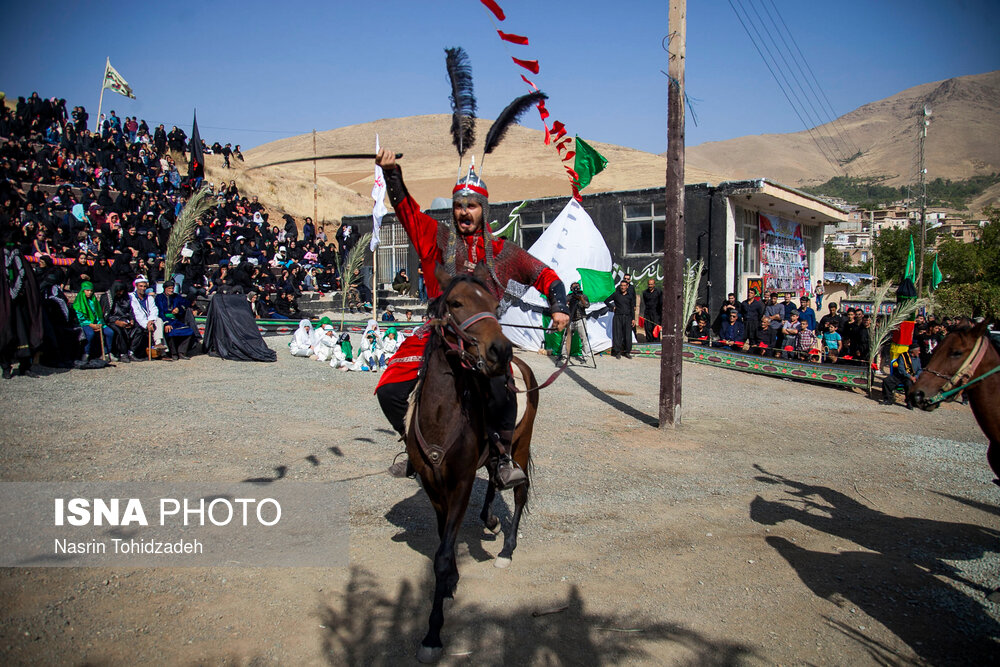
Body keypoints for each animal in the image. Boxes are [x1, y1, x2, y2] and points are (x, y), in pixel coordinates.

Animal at [404, 262, 536, 664]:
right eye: (457, 303)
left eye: (495, 306)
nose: (501, 350)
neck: (441, 413)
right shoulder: (434, 487)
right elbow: (442, 542)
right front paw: (450, 584)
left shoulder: (460, 484)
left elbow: (444, 553)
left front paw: (433, 634)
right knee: (494, 477)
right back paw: (489, 519)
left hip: (521, 446)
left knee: (519, 492)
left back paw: (506, 550)